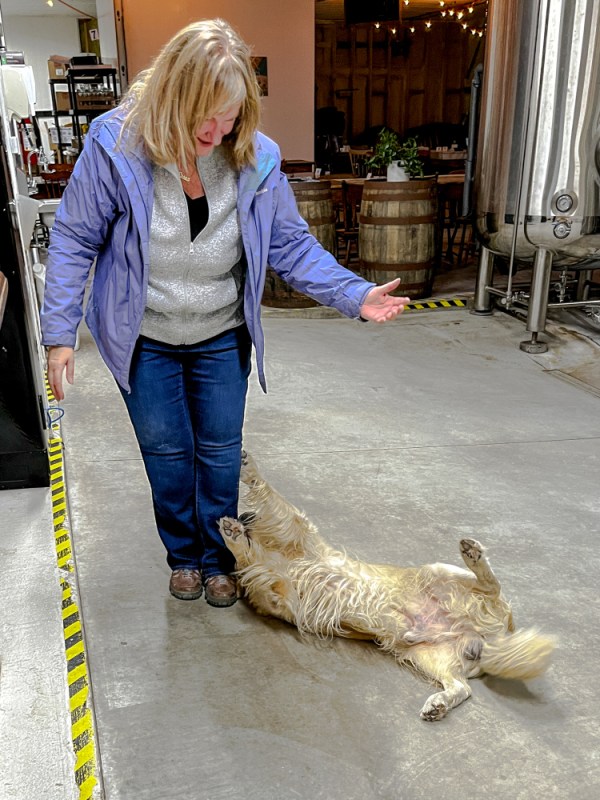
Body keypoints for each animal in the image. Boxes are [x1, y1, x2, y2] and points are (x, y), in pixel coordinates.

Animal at [219, 452, 556, 720]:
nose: (242, 517)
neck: (279, 555)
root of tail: (492, 637)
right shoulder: (282, 594)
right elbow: (254, 569)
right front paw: (234, 536)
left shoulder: (295, 530)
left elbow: (275, 502)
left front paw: (249, 472)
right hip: (428, 656)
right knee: (462, 688)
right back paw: (438, 704)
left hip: (438, 572)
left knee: (492, 587)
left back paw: (474, 554)